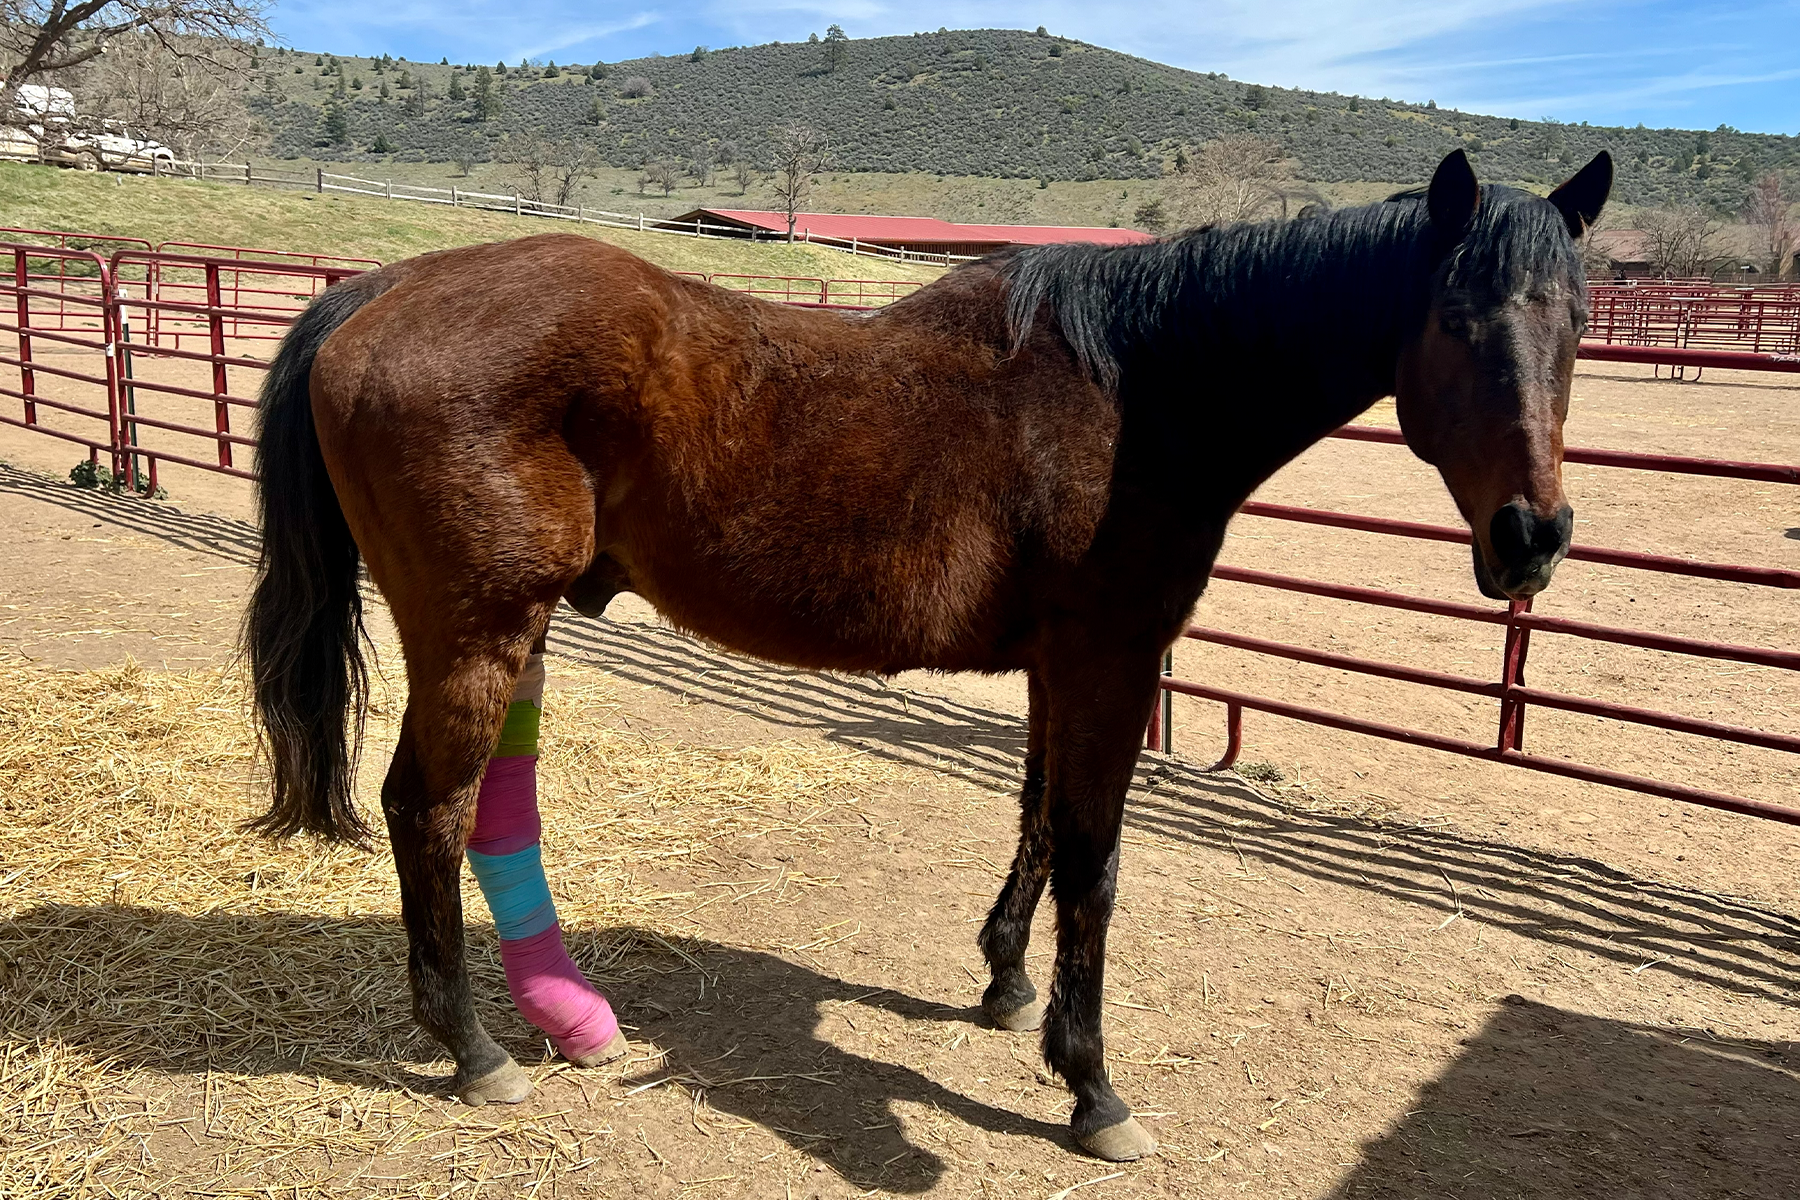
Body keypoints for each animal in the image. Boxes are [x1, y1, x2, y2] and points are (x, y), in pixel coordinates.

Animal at [244, 148, 1611, 1162]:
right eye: (1456, 318)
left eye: (1579, 325)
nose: (1532, 538)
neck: (1141, 389)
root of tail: (379, 290)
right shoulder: (1114, 661)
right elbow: (1095, 864)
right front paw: (1091, 1087)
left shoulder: (1064, 665)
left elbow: (1040, 821)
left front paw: (1006, 985)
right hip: (478, 631)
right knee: (426, 809)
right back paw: (473, 1050)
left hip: (506, 634)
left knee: (482, 814)